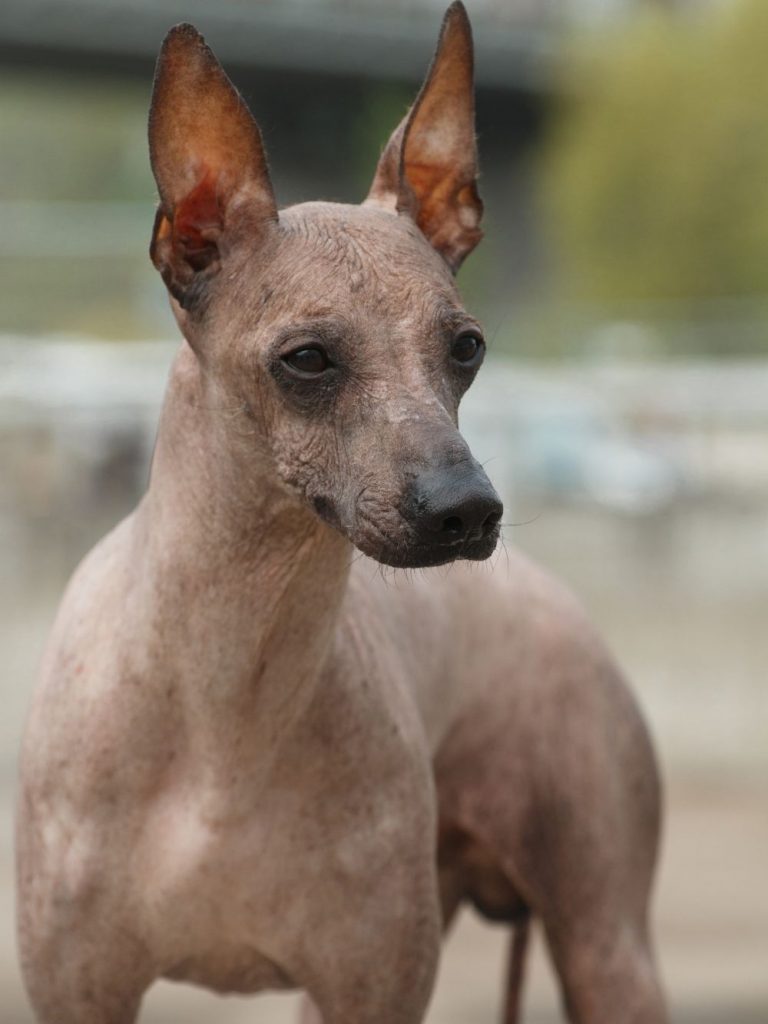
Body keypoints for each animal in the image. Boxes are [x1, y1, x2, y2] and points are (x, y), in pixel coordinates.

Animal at [16, 4, 667, 1019]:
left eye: (467, 347)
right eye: (309, 360)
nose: (468, 510)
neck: (229, 697)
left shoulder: (372, 988)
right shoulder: (77, 991)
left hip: (608, 947)